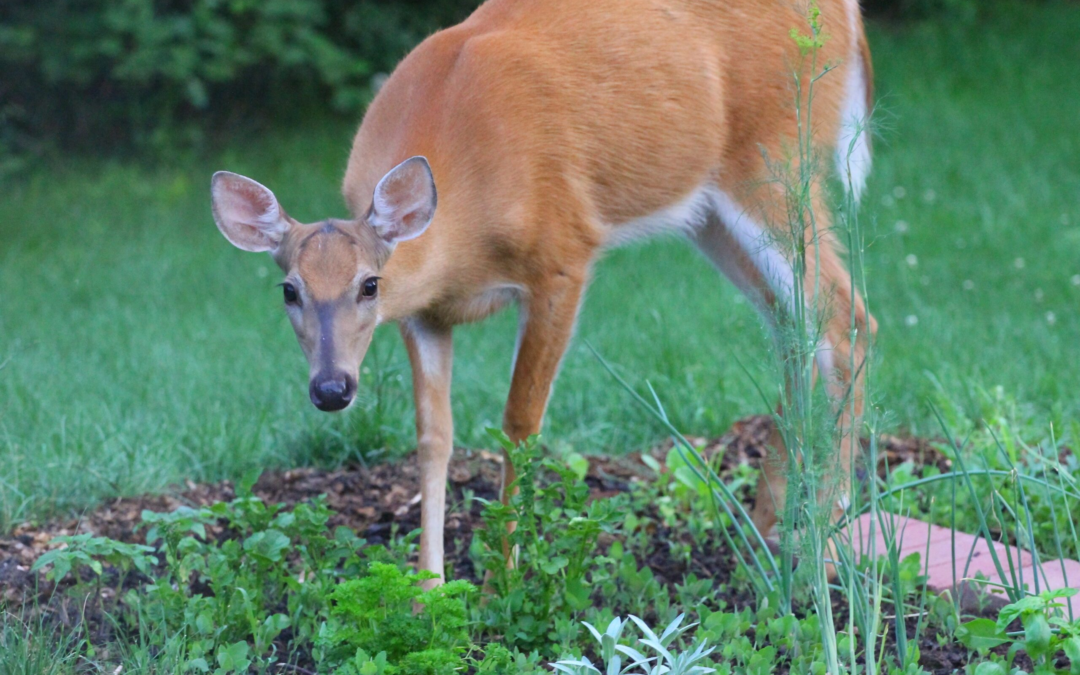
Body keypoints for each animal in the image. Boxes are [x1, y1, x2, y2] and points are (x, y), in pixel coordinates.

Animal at [209, 0, 876, 587]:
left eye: (369, 284)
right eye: (288, 291)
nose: (331, 389)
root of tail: (847, 15)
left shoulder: (563, 258)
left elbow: (519, 423)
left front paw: (503, 580)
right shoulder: (423, 314)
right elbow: (433, 437)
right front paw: (428, 589)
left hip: (776, 155)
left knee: (845, 318)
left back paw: (830, 540)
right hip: (709, 213)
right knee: (792, 326)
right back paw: (768, 528)